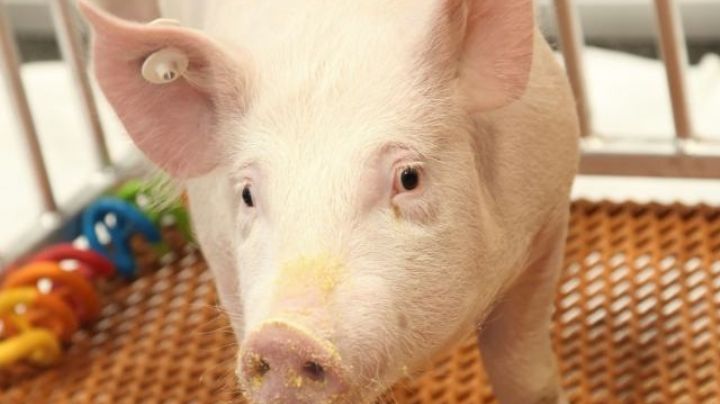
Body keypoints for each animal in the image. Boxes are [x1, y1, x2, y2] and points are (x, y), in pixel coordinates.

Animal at [79, 0, 579, 403]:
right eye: (247, 194)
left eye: (409, 177)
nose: (283, 338)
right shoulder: (225, 267)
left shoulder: (549, 219)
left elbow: (522, 370)